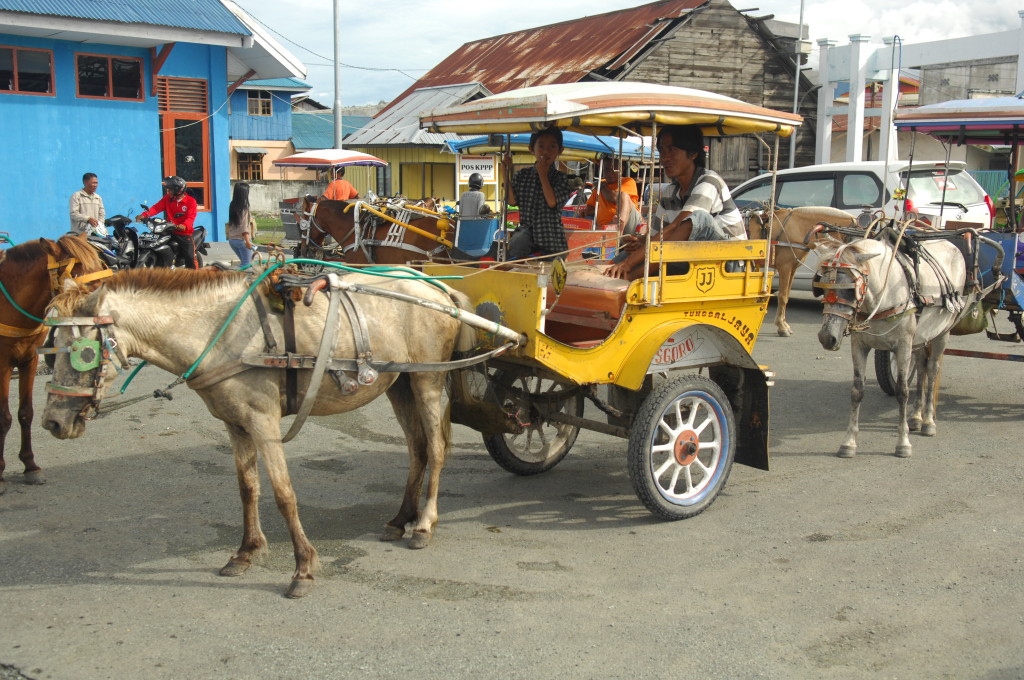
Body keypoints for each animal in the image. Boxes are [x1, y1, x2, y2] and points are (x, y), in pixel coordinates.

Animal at [0, 233, 109, 494]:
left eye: (99, 266)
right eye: (78, 274)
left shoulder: (29, 359)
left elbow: (25, 413)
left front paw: (30, 466)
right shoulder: (3, 364)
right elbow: (4, 417)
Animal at [41, 265, 476, 597]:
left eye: (83, 353)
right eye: (50, 347)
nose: (52, 422)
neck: (219, 333)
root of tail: (435, 286)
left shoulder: (263, 423)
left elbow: (284, 494)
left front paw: (303, 568)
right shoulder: (236, 424)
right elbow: (248, 489)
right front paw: (246, 552)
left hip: (427, 381)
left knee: (437, 448)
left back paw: (424, 524)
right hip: (399, 384)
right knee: (418, 448)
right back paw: (401, 518)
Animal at [745, 206, 858, 337]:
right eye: (852, 240)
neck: (796, 227)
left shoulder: (793, 269)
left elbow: (787, 296)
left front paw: (784, 324)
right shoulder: (785, 267)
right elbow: (782, 296)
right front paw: (781, 326)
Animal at [814, 235, 968, 458]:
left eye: (851, 290)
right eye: (822, 287)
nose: (827, 337)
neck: (883, 296)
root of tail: (949, 243)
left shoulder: (903, 346)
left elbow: (902, 391)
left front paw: (903, 443)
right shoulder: (859, 345)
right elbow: (857, 391)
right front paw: (849, 442)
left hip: (942, 333)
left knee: (932, 370)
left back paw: (929, 421)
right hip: (920, 337)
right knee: (921, 367)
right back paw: (916, 417)